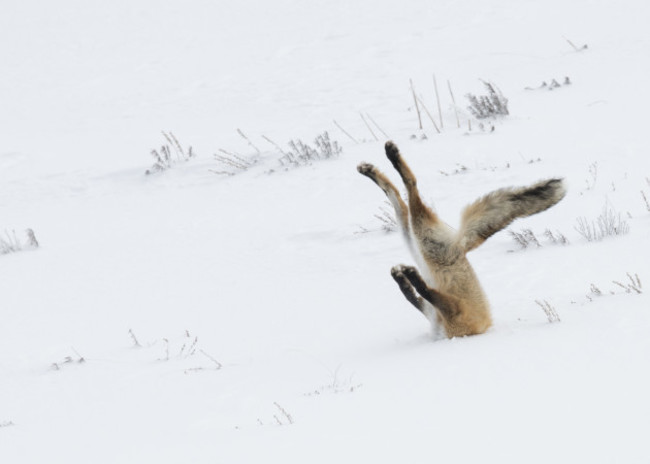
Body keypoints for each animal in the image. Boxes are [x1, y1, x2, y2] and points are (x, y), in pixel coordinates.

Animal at [356, 141, 564, 338]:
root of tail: (461, 246)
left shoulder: (453, 313)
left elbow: (422, 292)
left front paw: (409, 277)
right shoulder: (437, 312)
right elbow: (412, 295)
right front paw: (402, 278)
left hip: (422, 238)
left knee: (410, 186)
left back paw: (390, 157)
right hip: (415, 239)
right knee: (396, 194)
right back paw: (372, 169)